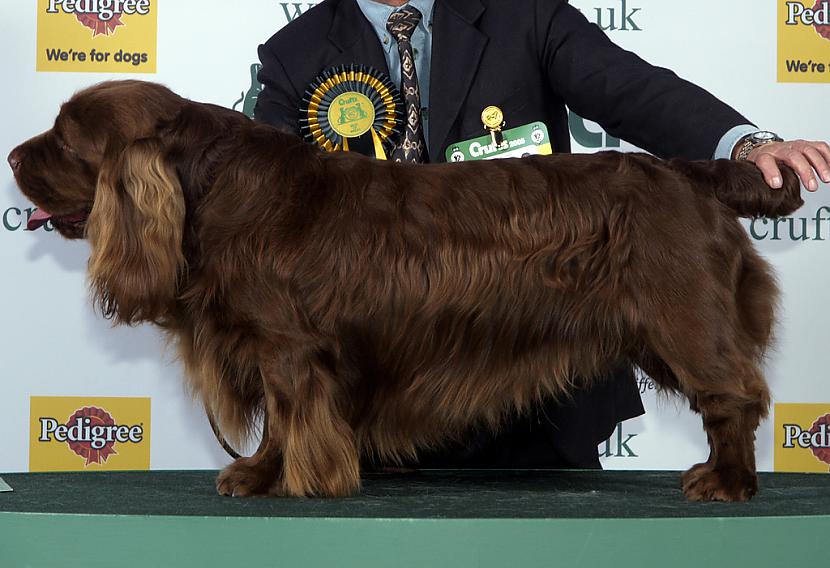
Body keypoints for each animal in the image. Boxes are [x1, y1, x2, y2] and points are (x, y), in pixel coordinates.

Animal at [9, 81, 808, 502]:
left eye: (63, 139)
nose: (13, 156)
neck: (210, 191)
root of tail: (690, 173)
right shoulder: (281, 350)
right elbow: (278, 421)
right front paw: (263, 474)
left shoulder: (290, 349)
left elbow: (289, 417)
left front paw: (293, 478)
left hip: (684, 314)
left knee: (733, 397)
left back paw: (725, 480)